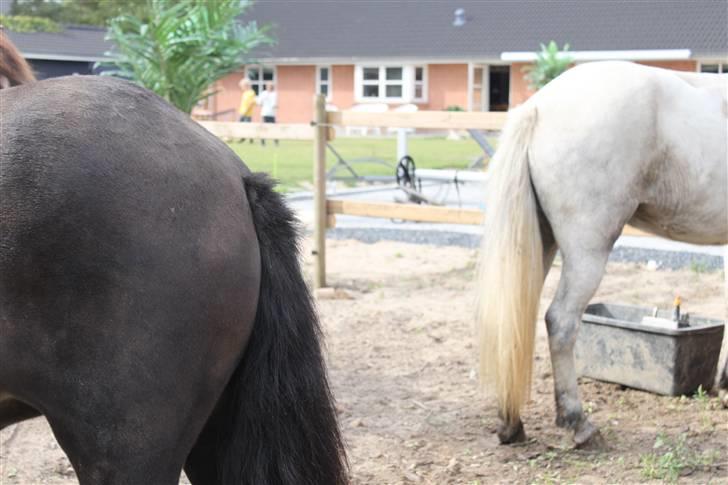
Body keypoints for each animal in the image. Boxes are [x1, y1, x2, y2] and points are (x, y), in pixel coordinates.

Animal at [474, 60, 724, 446]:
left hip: (540, 244)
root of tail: (539, 106)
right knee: (560, 321)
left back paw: (511, 423)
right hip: (588, 250)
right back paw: (577, 422)